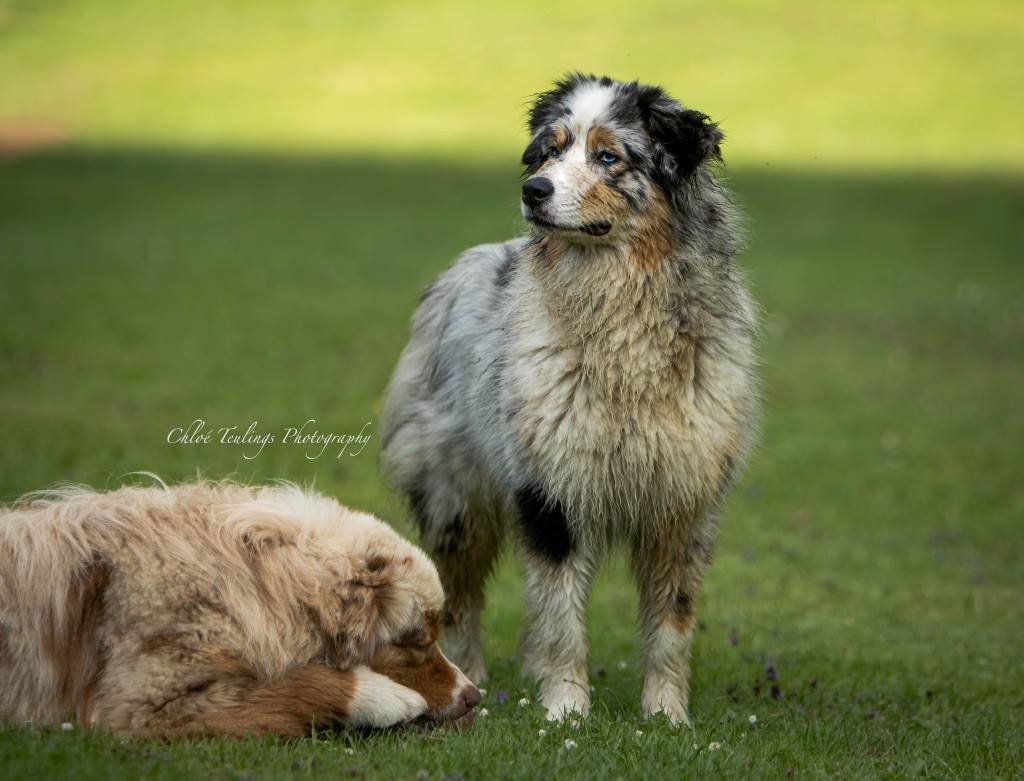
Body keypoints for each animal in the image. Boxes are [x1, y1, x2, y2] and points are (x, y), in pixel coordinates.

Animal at [380, 74, 757, 728]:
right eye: (550, 151)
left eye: (609, 156)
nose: (533, 190)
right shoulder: (550, 491)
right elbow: (560, 617)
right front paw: (565, 713)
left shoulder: (685, 500)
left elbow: (672, 621)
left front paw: (667, 716)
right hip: (456, 497)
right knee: (458, 598)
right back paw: (469, 678)